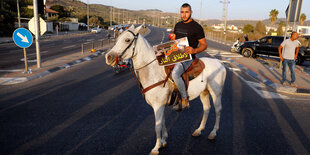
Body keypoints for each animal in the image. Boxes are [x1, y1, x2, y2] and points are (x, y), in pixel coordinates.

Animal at [105, 25, 226, 154]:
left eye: (127, 40)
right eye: (117, 38)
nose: (108, 57)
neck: (153, 72)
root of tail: (219, 62)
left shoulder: (158, 105)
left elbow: (157, 126)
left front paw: (155, 148)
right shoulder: (160, 105)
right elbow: (162, 122)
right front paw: (163, 142)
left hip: (216, 93)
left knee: (218, 110)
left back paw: (213, 133)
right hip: (204, 92)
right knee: (207, 109)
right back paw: (199, 130)